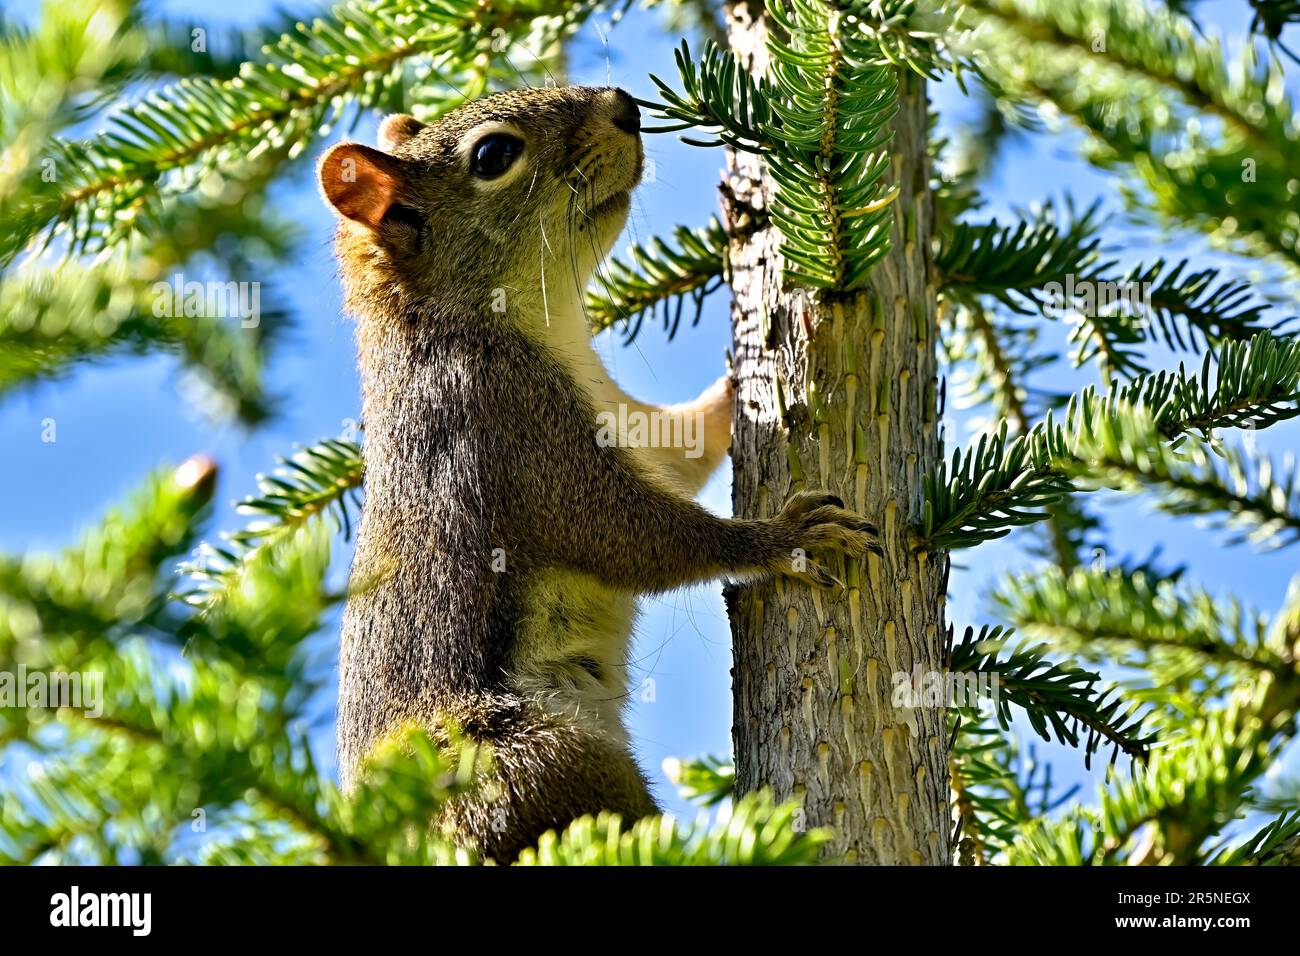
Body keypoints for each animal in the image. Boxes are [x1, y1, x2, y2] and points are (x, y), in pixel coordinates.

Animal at [318, 85, 878, 863]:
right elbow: (634, 537)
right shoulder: (509, 431)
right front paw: (784, 537)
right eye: (493, 155)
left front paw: (738, 378)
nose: (625, 105)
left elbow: (684, 449)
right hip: (529, 760)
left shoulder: (627, 418)